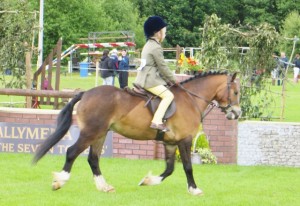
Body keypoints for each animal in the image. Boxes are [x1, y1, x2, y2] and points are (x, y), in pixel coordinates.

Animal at [32, 71, 241, 196]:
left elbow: (169, 169)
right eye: (236, 92)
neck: (191, 99)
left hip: (100, 134)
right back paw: (59, 181)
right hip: (91, 132)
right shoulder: (185, 140)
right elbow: (188, 167)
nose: (237, 113)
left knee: (93, 159)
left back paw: (104, 186)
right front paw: (195, 189)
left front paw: (147, 181)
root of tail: (86, 93)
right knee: (72, 152)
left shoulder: (170, 143)